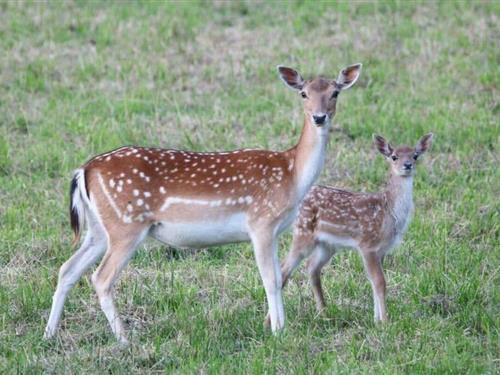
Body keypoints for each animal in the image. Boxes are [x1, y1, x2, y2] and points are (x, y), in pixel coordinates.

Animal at [45, 64, 362, 344]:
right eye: (303, 93)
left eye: (335, 92)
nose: (319, 117)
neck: (292, 174)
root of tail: (84, 170)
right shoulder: (260, 222)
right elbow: (271, 278)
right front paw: (278, 333)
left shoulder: (272, 231)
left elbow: (279, 275)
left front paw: (279, 327)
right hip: (126, 225)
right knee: (101, 278)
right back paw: (124, 340)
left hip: (100, 228)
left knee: (67, 269)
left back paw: (49, 334)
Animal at [266, 134, 434, 324]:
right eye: (394, 157)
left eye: (415, 155)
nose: (407, 165)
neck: (389, 212)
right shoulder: (368, 244)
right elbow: (379, 282)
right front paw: (385, 322)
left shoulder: (382, 250)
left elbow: (374, 281)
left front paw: (376, 320)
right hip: (303, 233)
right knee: (284, 270)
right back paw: (270, 322)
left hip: (327, 244)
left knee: (312, 267)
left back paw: (323, 312)